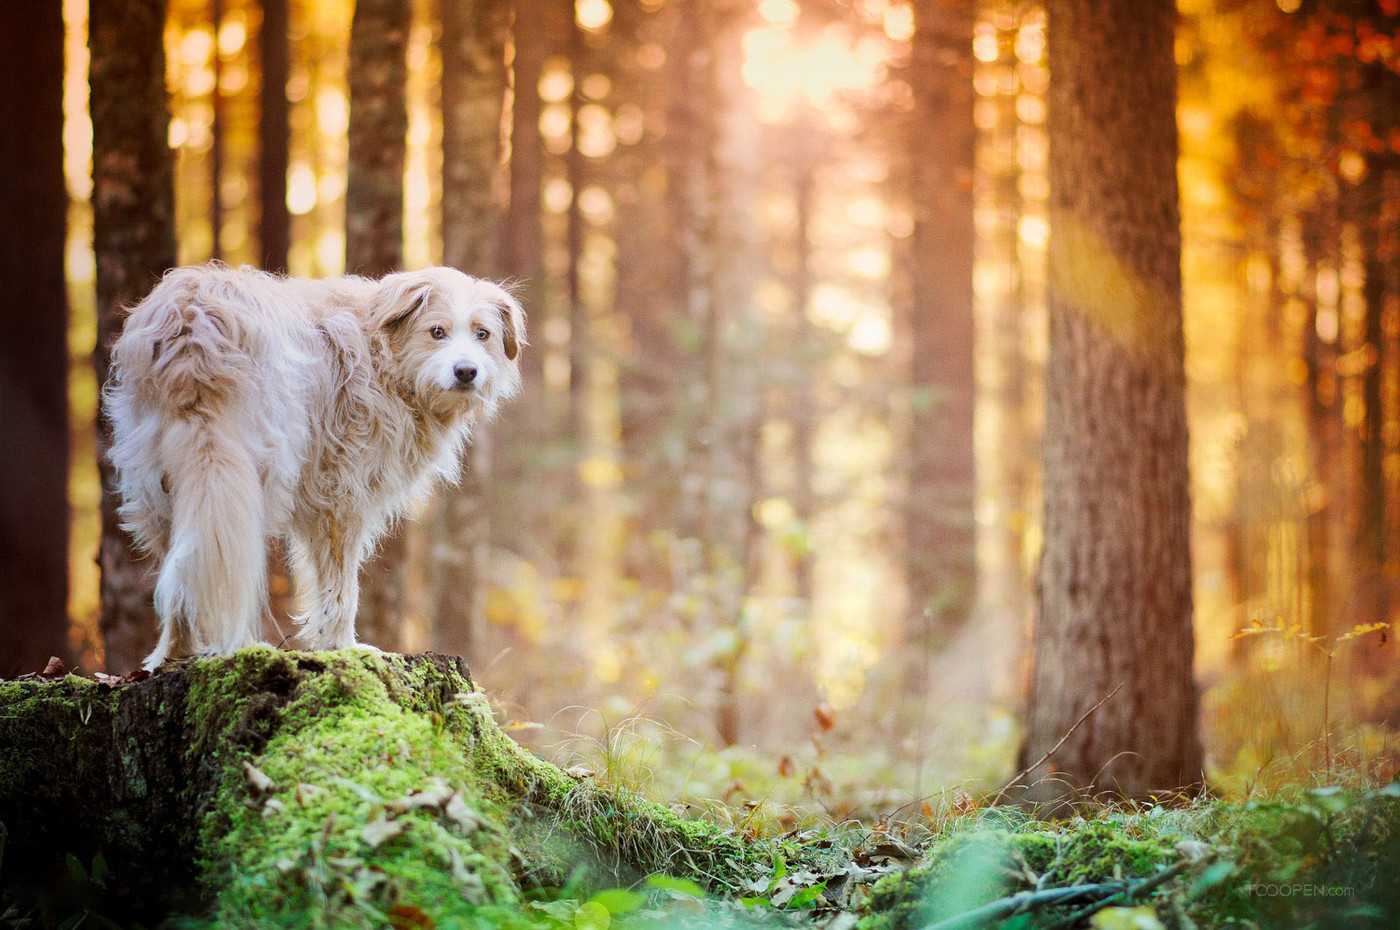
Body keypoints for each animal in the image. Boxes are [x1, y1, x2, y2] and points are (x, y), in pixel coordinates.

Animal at [105, 263, 526, 669]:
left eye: (482, 334)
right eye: (437, 331)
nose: (467, 372)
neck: (382, 356)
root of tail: (193, 322)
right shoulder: (341, 494)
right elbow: (341, 586)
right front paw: (342, 646)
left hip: (161, 476)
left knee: (185, 565)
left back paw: (177, 651)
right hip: (260, 469)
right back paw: (242, 646)